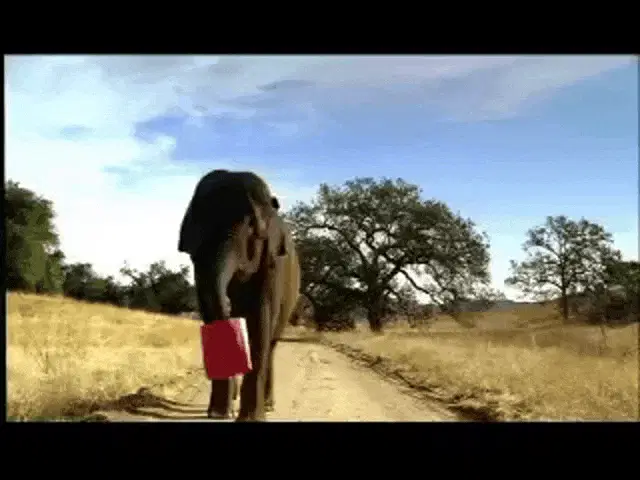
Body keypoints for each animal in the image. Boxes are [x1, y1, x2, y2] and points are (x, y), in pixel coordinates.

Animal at [178, 169, 301, 422]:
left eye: (252, 229)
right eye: (199, 226)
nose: (228, 301)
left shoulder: (272, 263)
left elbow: (260, 319)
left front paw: (250, 419)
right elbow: (210, 308)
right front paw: (219, 414)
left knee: (271, 343)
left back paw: (268, 405)